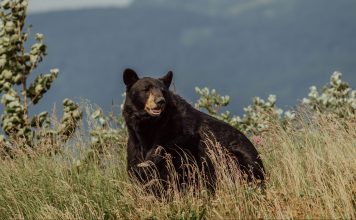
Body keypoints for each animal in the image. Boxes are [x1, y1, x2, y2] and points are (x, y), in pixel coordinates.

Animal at [122, 69, 264, 191]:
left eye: (163, 91)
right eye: (146, 89)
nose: (160, 101)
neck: (150, 127)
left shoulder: (179, 142)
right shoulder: (135, 145)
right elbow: (138, 169)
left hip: (233, 158)